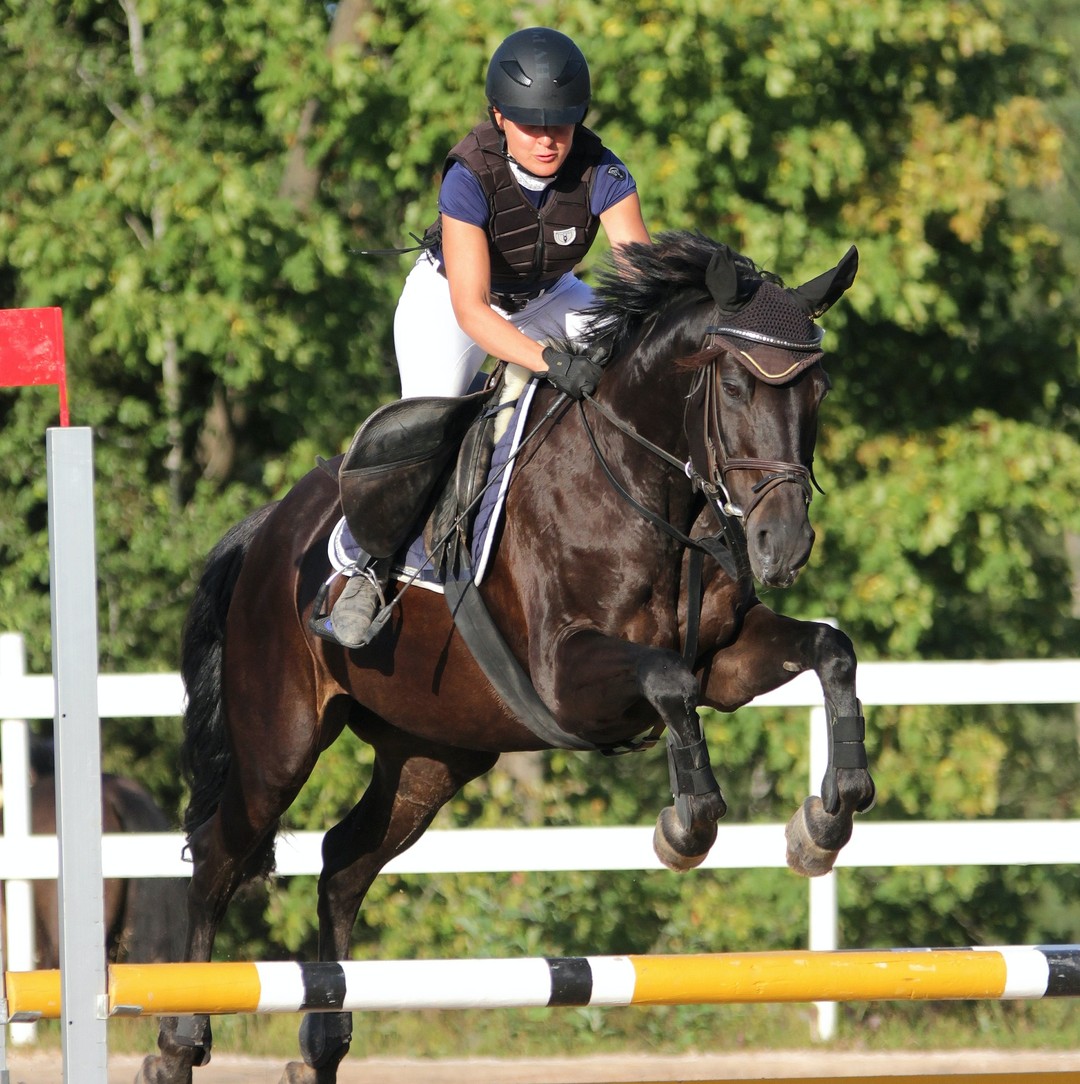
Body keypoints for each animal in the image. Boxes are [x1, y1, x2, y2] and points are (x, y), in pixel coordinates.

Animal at [138, 231, 875, 1084]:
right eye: (733, 384)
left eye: (817, 389)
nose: (782, 546)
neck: (650, 492)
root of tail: (267, 529)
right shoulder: (566, 682)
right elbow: (667, 686)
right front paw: (687, 826)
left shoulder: (724, 660)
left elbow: (831, 650)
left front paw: (826, 818)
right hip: (279, 743)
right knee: (221, 852)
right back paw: (178, 1040)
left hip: (432, 754)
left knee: (344, 862)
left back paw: (323, 1041)